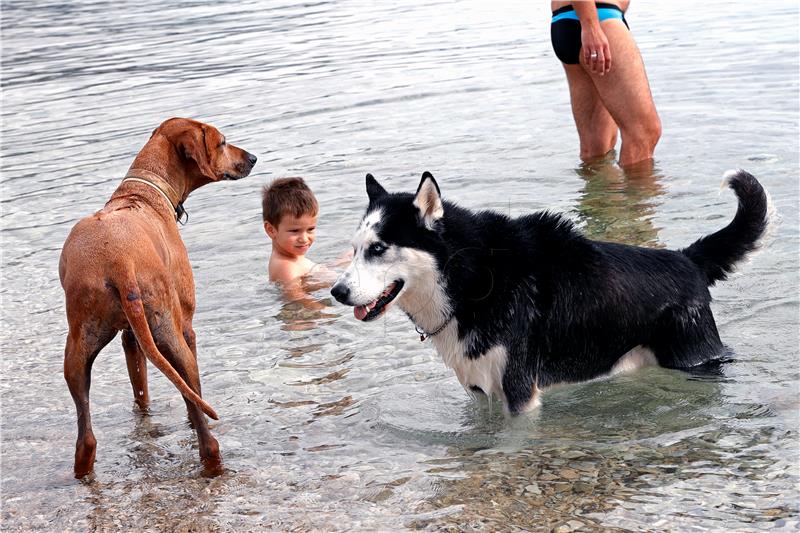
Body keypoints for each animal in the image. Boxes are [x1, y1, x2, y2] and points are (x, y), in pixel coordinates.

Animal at [58, 118, 256, 476]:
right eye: (222, 142)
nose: (252, 158)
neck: (145, 192)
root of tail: (119, 261)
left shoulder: (131, 336)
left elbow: (141, 388)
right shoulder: (186, 325)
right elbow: (191, 395)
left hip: (80, 342)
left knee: (86, 439)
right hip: (171, 333)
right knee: (201, 422)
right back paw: (213, 460)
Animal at [330, 170, 768, 412]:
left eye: (378, 249)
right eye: (354, 249)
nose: (337, 291)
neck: (471, 278)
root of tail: (687, 259)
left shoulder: (519, 393)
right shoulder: (480, 391)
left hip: (694, 362)